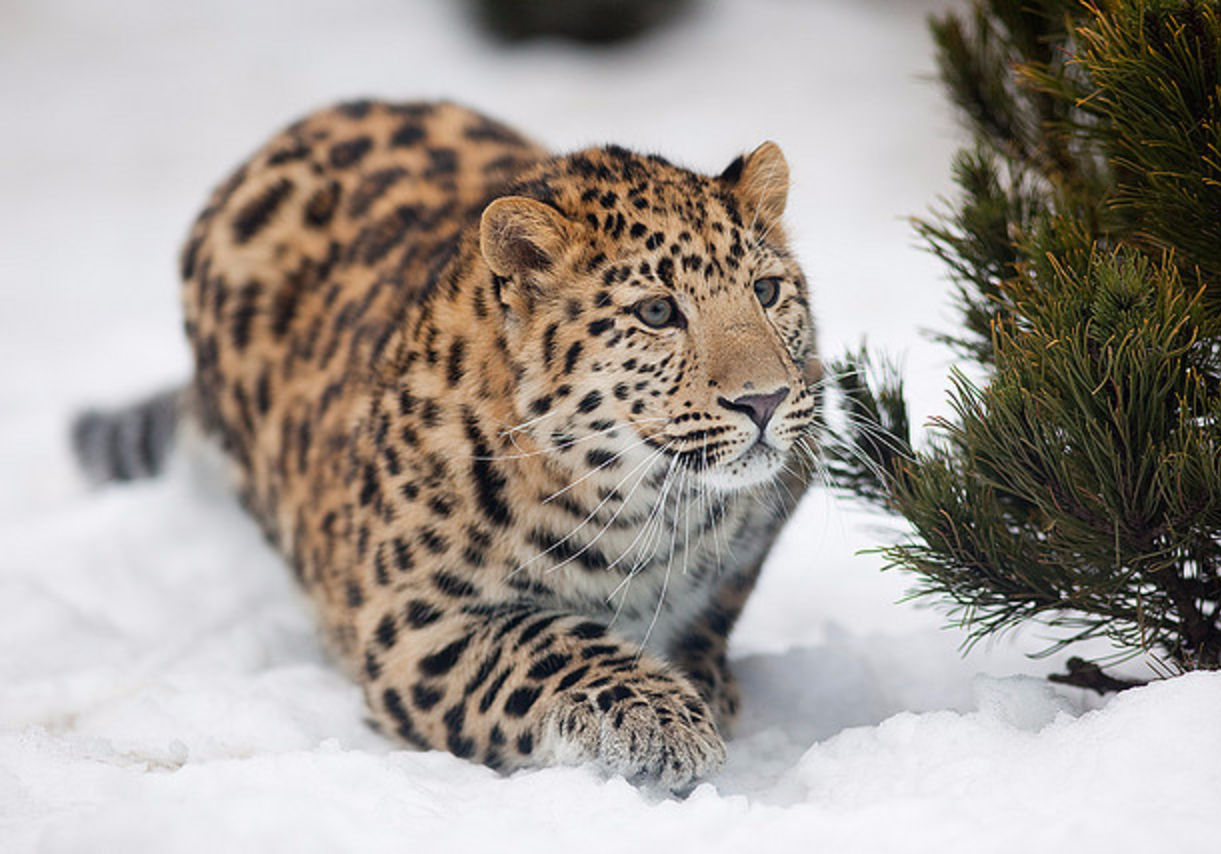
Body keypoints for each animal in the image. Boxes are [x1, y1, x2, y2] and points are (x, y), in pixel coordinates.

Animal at [72, 99, 822, 791]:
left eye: (765, 290)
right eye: (659, 312)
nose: (764, 400)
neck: (653, 509)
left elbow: (713, 608)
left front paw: (703, 677)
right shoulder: (411, 627)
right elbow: (544, 643)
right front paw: (657, 713)